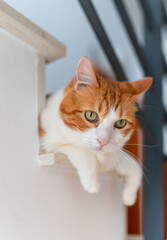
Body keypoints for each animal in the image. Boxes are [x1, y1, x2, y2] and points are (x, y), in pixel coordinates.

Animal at [39, 56, 153, 206]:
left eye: (120, 123)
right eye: (91, 115)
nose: (103, 141)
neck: (100, 159)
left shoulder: (113, 158)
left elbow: (136, 167)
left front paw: (129, 196)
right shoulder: (47, 141)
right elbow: (80, 150)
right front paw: (92, 182)